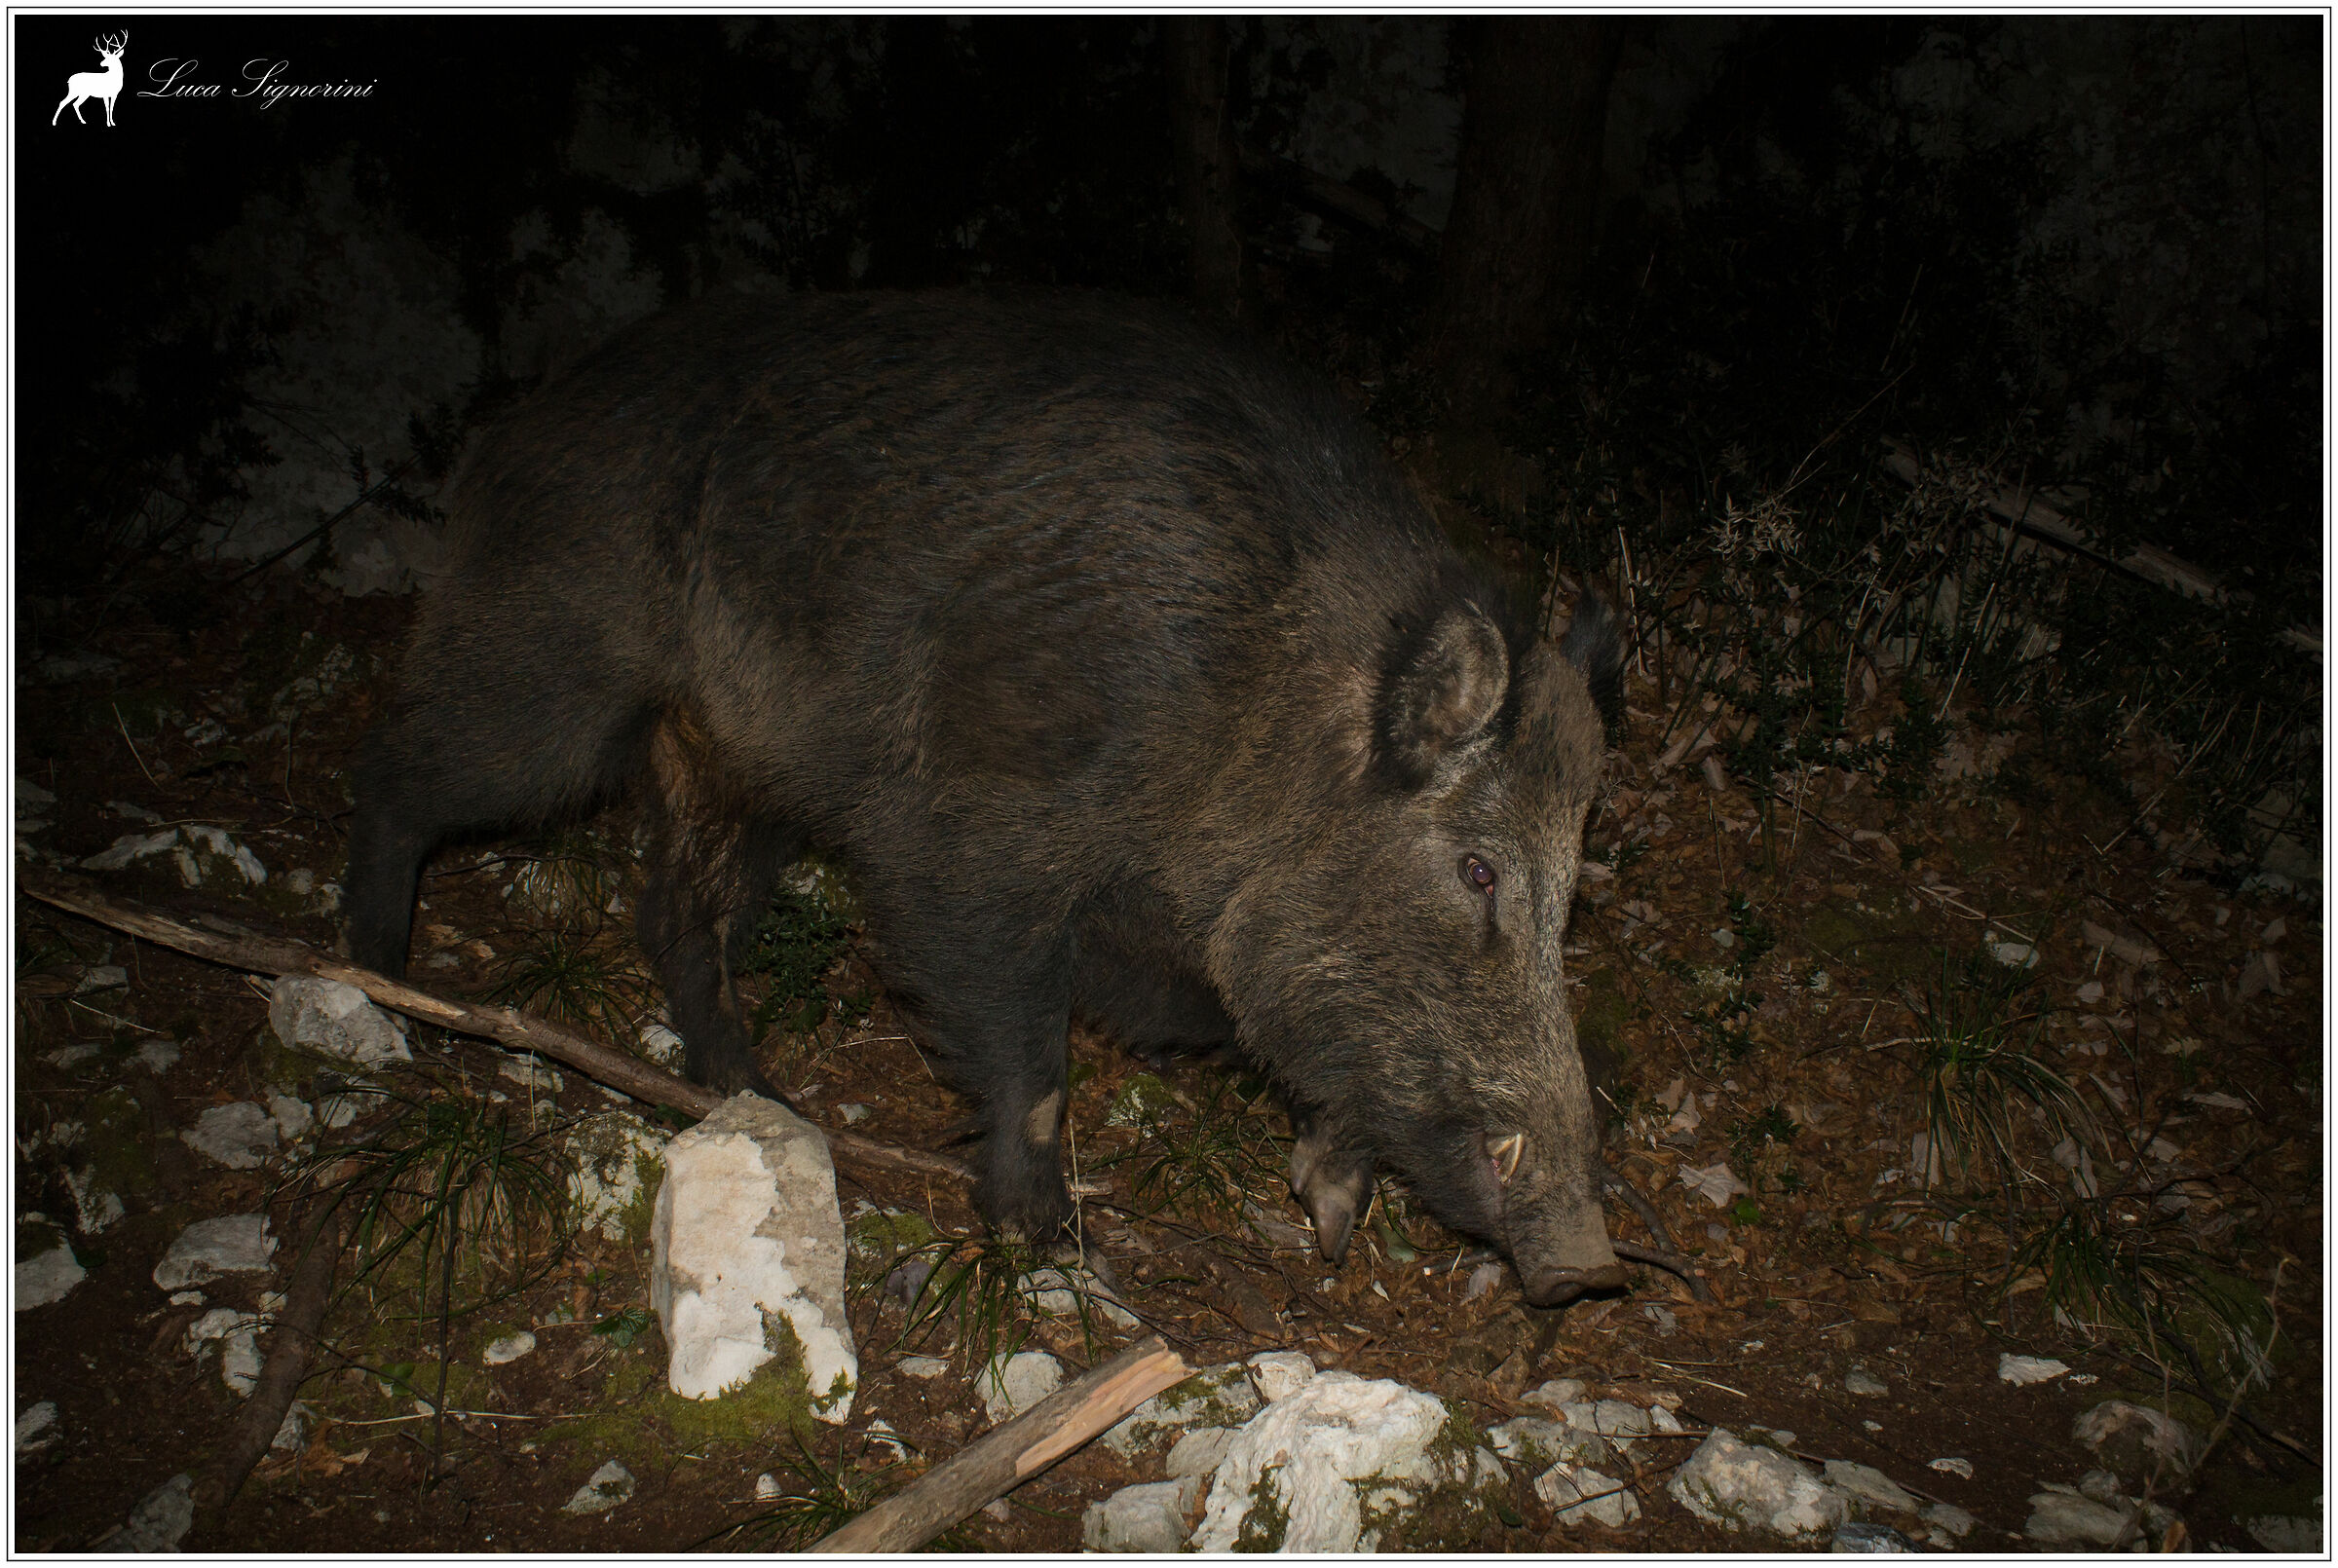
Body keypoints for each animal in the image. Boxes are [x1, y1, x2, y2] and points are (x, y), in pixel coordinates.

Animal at [344, 288, 1630, 1307]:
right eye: (1476, 867)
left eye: (1574, 890)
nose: (1589, 1265)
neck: (1254, 713)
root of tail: (515, 429)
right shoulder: (973, 834)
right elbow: (1023, 1045)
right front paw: (1051, 1239)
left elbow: (1219, 1020)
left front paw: (1323, 1209)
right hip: (552, 671)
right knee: (401, 774)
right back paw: (379, 988)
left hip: (741, 772)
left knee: (675, 912)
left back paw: (759, 1100)